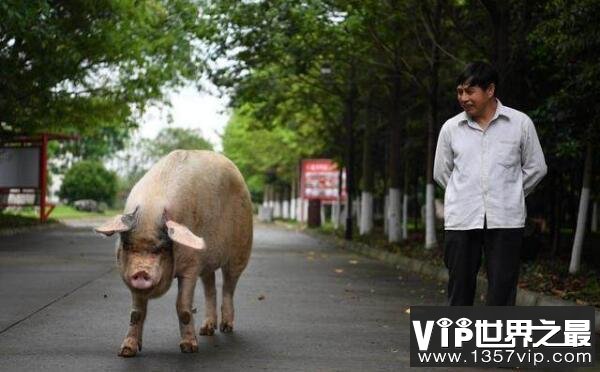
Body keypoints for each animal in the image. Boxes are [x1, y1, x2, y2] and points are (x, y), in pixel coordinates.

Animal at [94, 150, 253, 356]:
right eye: (128, 246)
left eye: (161, 248)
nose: (141, 272)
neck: (150, 211)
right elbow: (136, 313)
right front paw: (126, 351)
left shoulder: (191, 266)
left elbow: (183, 307)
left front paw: (189, 349)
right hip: (207, 263)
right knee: (210, 288)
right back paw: (206, 330)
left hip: (240, 250)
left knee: (228, 286)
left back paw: (226, 328)